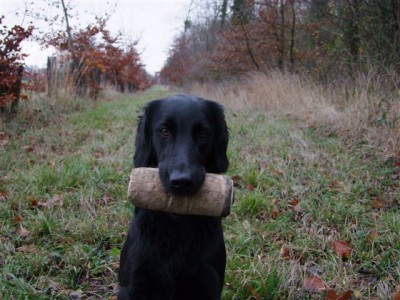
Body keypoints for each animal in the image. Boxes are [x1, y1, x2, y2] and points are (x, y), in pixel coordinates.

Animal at [118, 94, 228, 300]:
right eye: (164, 131)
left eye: (203, 134)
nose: (182, 181)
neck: (177, 225)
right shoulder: (133, 285)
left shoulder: (207, 282)